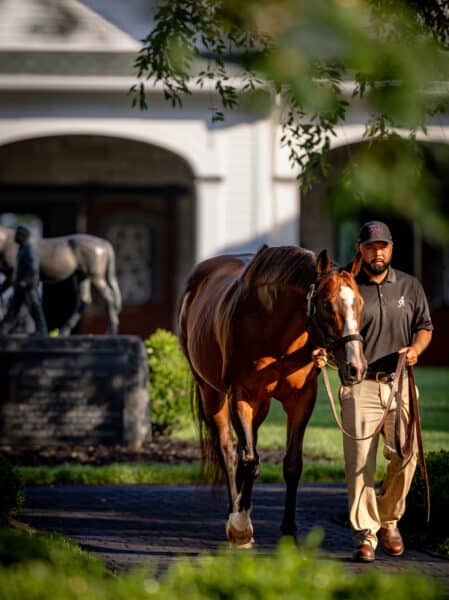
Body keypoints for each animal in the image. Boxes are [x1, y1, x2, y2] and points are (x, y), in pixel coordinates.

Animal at [177, 245, 366, 548]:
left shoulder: (301, 399)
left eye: (359, 302)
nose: (355, 367)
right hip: (212, 393)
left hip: (261, 405)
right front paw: (241, 527)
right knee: (229, 451)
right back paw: (236, 512)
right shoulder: (241, 396)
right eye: (327, 304)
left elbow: (292, 465)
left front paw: (288, 530)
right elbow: (249, 461)